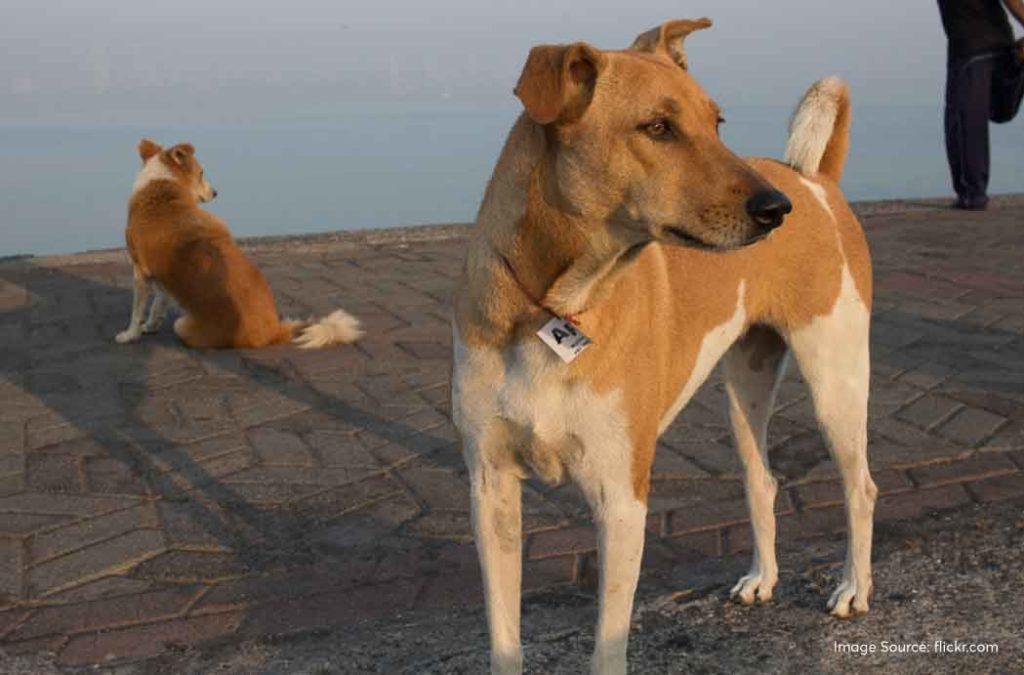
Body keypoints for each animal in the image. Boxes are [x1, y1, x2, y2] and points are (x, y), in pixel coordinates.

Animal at [115, 137, 362, 348]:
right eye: (202, 173)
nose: (216, 192)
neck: (162, 186)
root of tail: (273, 330)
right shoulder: (161, 276)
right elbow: (158, 303)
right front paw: (151, 325)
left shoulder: (140, 271)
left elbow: (137, 311)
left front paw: (130, 334)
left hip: (182, 325)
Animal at [452, 17, 876, 675]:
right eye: (658, 128)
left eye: (717, 122)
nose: (775, 209)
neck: (552, 311)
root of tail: (812, 180)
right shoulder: (491, 489)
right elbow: (504, 639)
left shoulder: (621, 498)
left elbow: (608, 644)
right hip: (745, 387)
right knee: (762, 481)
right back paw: (761, 577)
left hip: (836, 379)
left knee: (861, 487)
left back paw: (854, 587)